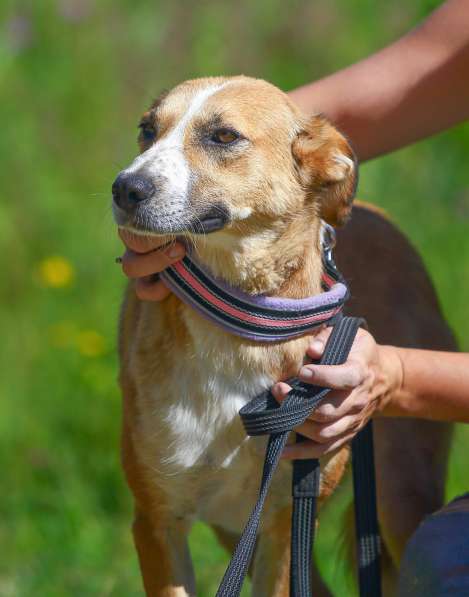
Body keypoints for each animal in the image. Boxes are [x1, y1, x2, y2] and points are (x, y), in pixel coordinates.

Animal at [113, 77, 454, 592]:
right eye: (147, 130)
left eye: (224, 136)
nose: (124, 188)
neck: (244, 322)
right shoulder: (157, 519)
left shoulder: (287, 519)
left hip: (400, 494)